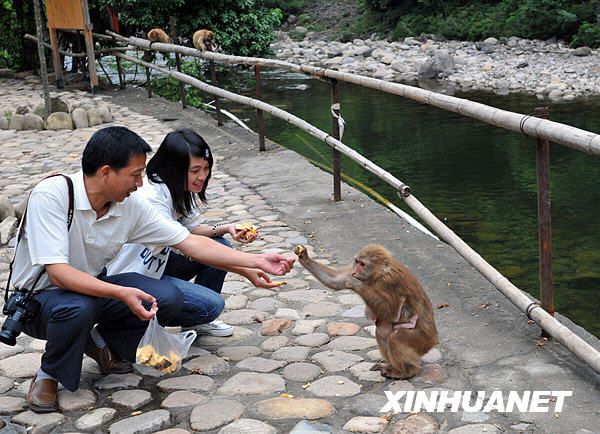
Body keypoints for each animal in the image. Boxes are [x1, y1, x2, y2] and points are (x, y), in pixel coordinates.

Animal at [294, 244, 438, 380]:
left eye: (362, 264)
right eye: (357, 262)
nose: (355, 271)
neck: (378, 273)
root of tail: (433, 340)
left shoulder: (390, 281)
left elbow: (391, 312)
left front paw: (356, 284)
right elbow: (336, 280)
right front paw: (304, 257)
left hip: (421, 340)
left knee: (395, 336)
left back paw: (405, 372)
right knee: (381, 333)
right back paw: (392, 366)